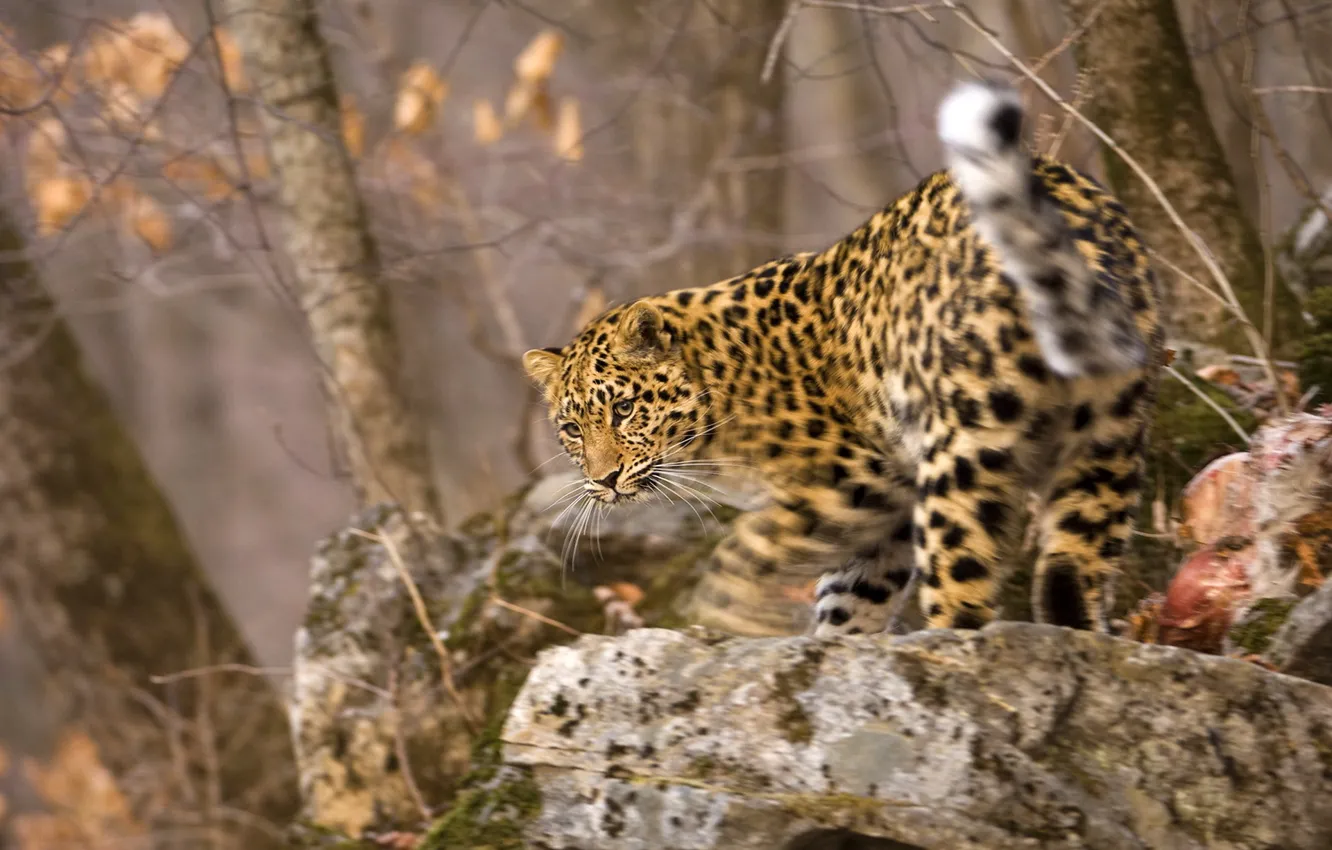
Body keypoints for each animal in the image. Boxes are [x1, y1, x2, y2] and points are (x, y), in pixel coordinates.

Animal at [522, 80, 1163, 638]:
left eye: (624, 409)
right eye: (572, 429)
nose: (603, 481)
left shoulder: (855, 478)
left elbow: (748, 553)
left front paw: (724, 617)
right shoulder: (882, 515)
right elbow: (852, 595)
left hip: (963, 450)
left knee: (963, 591)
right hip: (1106, 437)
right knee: (1073, 572)